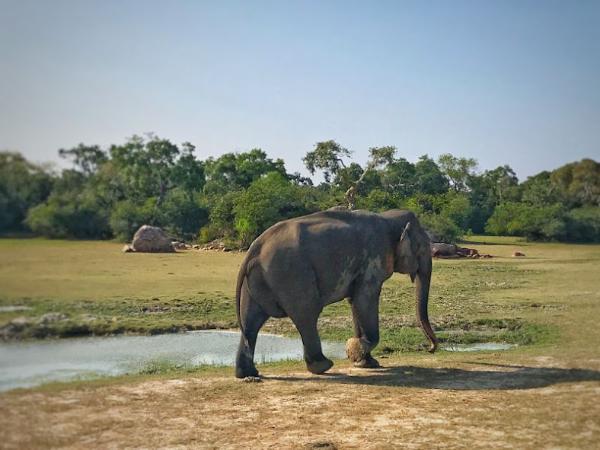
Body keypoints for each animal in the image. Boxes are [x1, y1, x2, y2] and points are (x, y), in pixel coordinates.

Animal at [234, 209, 436, 378]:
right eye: (422, 248)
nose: (430, 348)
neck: (388, 218)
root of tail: (256, 247)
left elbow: (355, 302)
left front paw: (366, 362)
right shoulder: (373, 259)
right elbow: (365, 299)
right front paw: (354, 350)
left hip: (256, 281)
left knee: (251, 322)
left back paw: (248, 374)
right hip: (292, 274)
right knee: (307, 314)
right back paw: (323, 366)